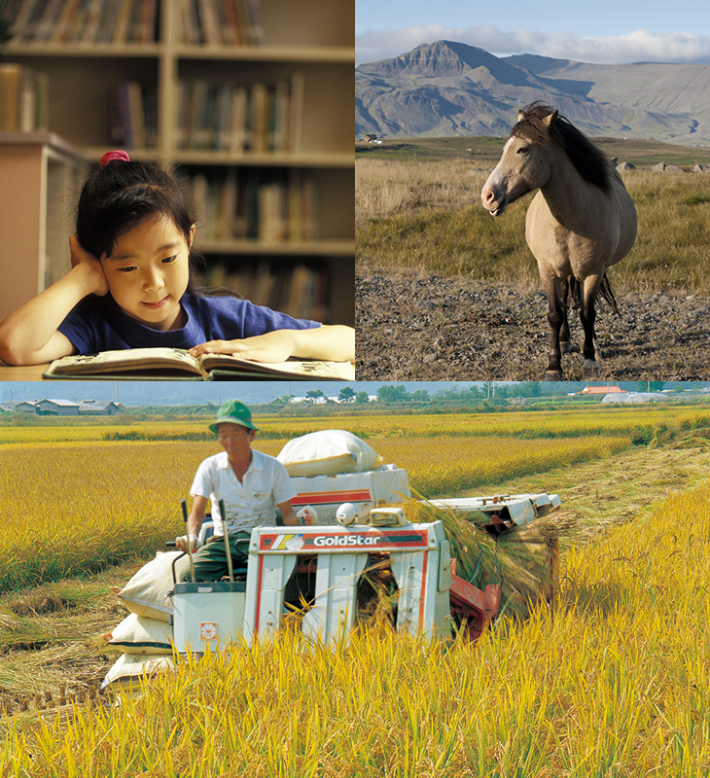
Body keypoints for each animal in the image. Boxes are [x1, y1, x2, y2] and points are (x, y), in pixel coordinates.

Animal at [482, 101, 636, 380]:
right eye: (504, 148)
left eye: (522, 149)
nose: (487, 196)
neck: (570, 219)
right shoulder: (547, 270)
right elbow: (555, 314)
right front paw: (554, 366)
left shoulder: (593, 272)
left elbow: (588, 314)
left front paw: (589, 361)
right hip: (563, 271)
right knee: (565, 300)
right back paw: (565, 341)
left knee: (581, 305)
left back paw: (595, 347)